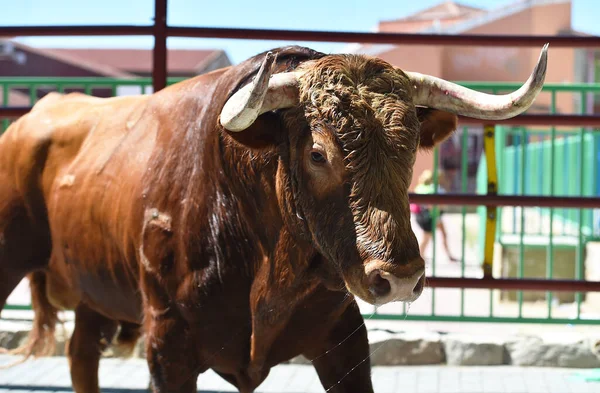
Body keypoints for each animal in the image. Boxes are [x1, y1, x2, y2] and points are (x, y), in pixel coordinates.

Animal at [0, 44, 548, 390]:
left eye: (412, 148)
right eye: (318, 154)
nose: (399, 278)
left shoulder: (345, 340)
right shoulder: (167, 348)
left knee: (81, 356)